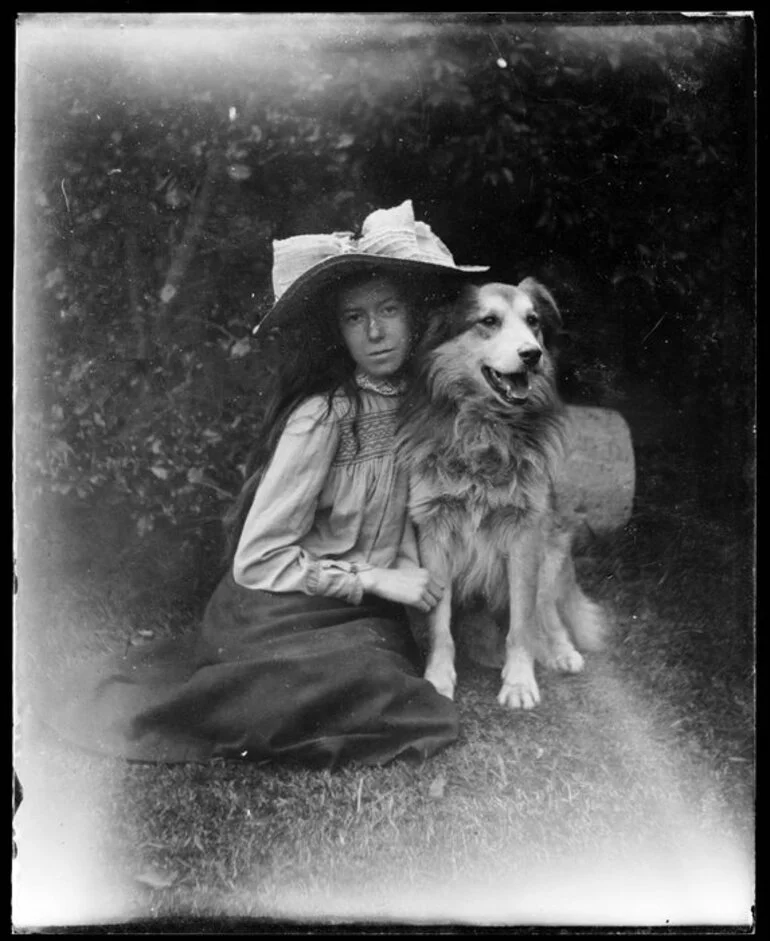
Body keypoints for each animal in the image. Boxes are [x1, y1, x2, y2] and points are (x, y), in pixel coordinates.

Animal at [396, 278, 608, 704]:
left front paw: (520, 681)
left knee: (548, 614)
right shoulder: (434, 531)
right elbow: (439, 625)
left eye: (533, 321)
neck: (486, 432)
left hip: (552, 549)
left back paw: (561, 651)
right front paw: (438, 677)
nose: (532, 354)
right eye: (489, 321)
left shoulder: (525, 535)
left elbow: (522, 622)